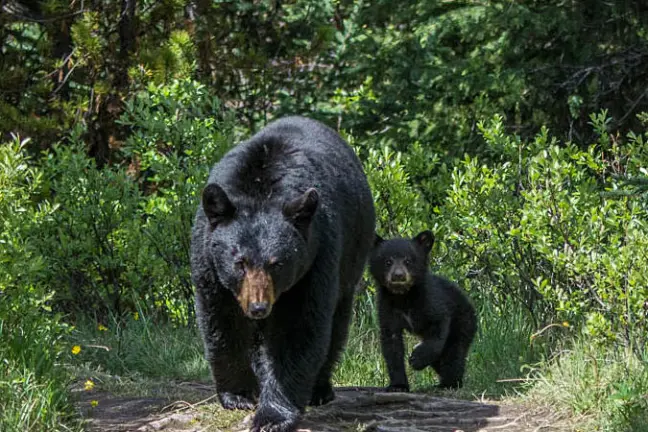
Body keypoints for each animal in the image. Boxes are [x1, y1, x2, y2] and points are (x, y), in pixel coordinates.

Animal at [190, 115, 376, 432]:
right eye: (240, 262)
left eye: (276, 263)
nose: (258, 307)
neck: (261, 188)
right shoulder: (209, 262)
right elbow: (222, 321)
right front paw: (238, 395)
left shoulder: (316, 256)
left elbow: (297, 328)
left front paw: (272, 416)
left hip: (352, 256)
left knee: (336, 324)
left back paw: (319, 389)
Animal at [369, 230, 477, 391]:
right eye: (388, 261)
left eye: (408, 260)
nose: (398, 275)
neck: (403, 296)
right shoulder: (387, 308)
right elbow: (392, 344)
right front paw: (398, 386)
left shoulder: (430, 301)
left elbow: (438, 327)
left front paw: (417, 359)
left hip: (464, 322)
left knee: (454, 354)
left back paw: (449, 383)